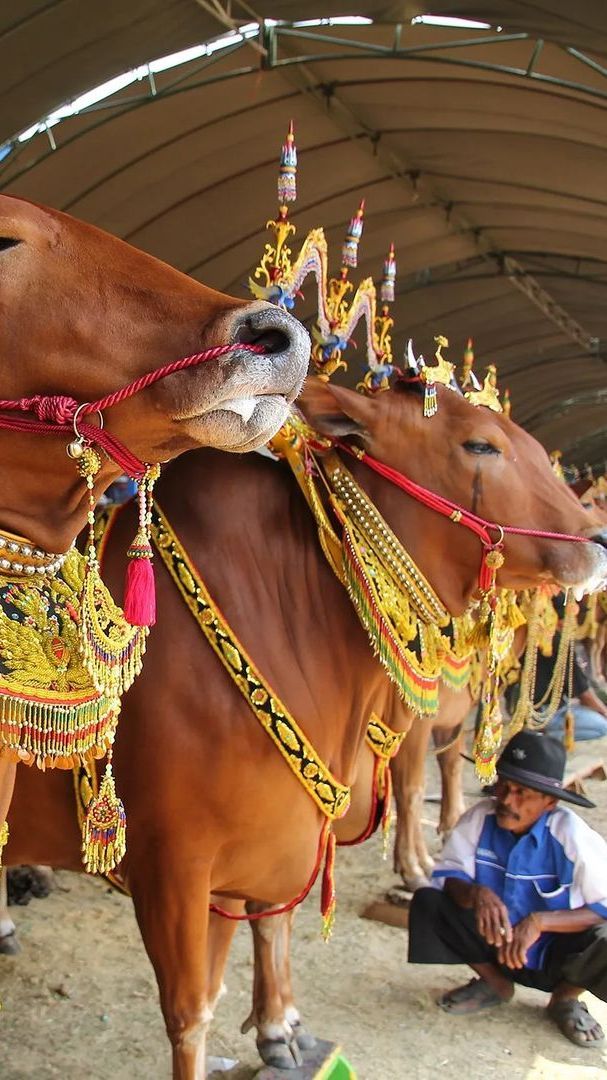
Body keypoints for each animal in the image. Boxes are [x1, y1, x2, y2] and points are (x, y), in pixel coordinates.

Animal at [4, 375, 604, 1075]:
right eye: (481, 444)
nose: (596, 540)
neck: (285, 608)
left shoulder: (277, 833)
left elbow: (271, 927)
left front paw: (281, 1028)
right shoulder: (173, 865)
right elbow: (191, 1012)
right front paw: (416, 869)